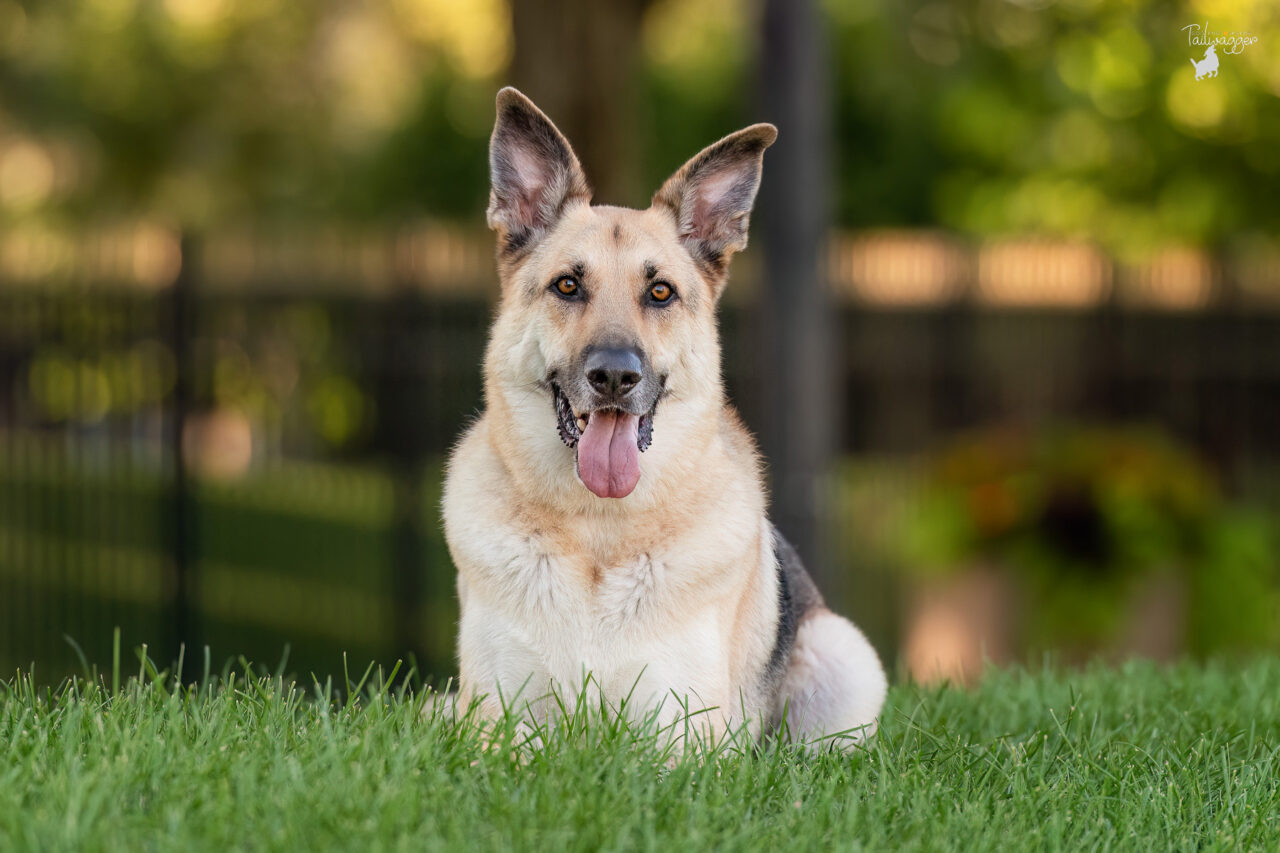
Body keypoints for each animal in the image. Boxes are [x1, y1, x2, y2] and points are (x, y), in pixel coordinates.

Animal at [445, 89, 885, 747]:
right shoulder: (494, 724)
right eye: (567, 286)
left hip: (844, 659)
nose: (614, 377)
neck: (598, 532)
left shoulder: (681, 735)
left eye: (660, 294)